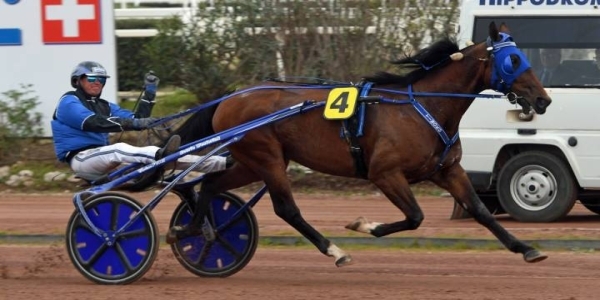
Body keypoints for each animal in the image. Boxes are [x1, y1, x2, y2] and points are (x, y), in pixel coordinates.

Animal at [166, 21, 552, 264]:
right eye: (513, 59)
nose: (543, 99)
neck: (423, 106)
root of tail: (230, 97)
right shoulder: (385, 173)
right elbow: (414, 216)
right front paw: (364, 225)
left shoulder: (447, 170)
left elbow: (481, 210)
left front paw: (526, 248)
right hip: (267, 158)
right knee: (286, 209)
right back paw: (334, 250)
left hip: (251, 161)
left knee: (212, 185)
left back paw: (191, 230)